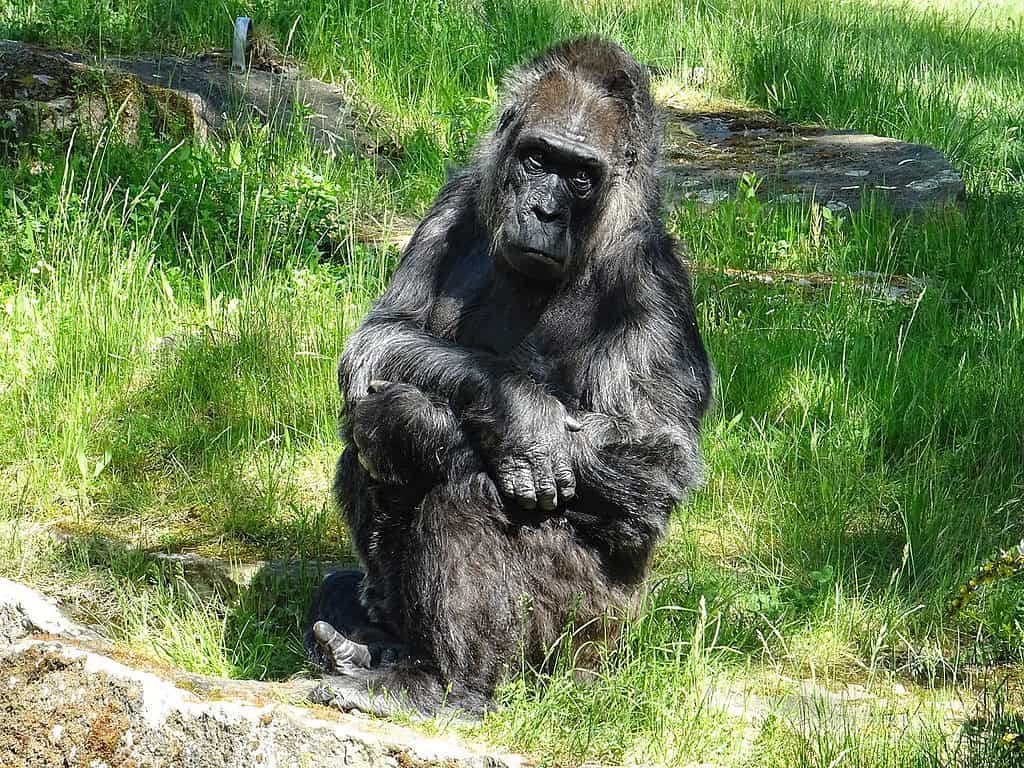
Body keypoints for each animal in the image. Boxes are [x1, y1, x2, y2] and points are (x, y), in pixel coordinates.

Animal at [307, 36, 712, 720]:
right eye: (536, 158)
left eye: (580, 176)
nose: (544, 211)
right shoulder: (455, 201)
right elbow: (379, 340)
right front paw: (515, 410)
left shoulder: (652, 280)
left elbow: (655, 464)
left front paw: (483, 425)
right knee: (377, 429)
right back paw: (378, 638)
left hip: (587, 644)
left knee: (468, 486)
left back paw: (446, 683)